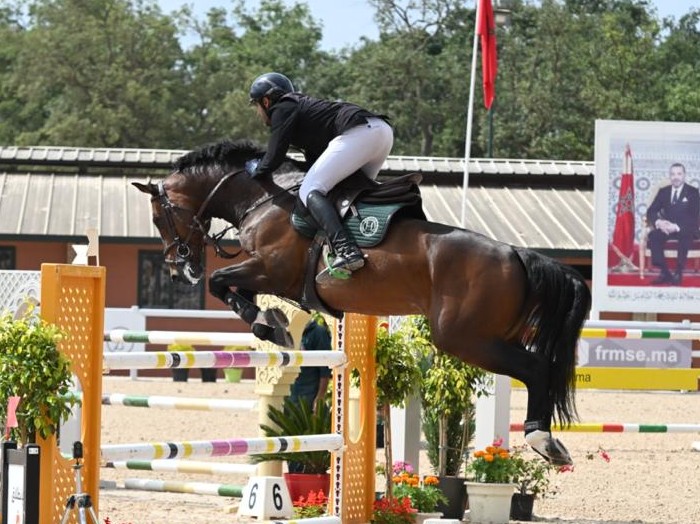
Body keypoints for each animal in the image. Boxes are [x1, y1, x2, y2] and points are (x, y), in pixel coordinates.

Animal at [133, 138, 591, 466]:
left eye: (158, 217)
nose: (178, 271)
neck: (264, 197)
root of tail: (517, 253)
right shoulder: (266, 275)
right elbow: (231, 288)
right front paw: (273, 320)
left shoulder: (269, 268)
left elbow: (220, 282)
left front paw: (266, 324)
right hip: (487, 335)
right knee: (539, 367)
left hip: (465, 338)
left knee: (535, 368)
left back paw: (543, 439)